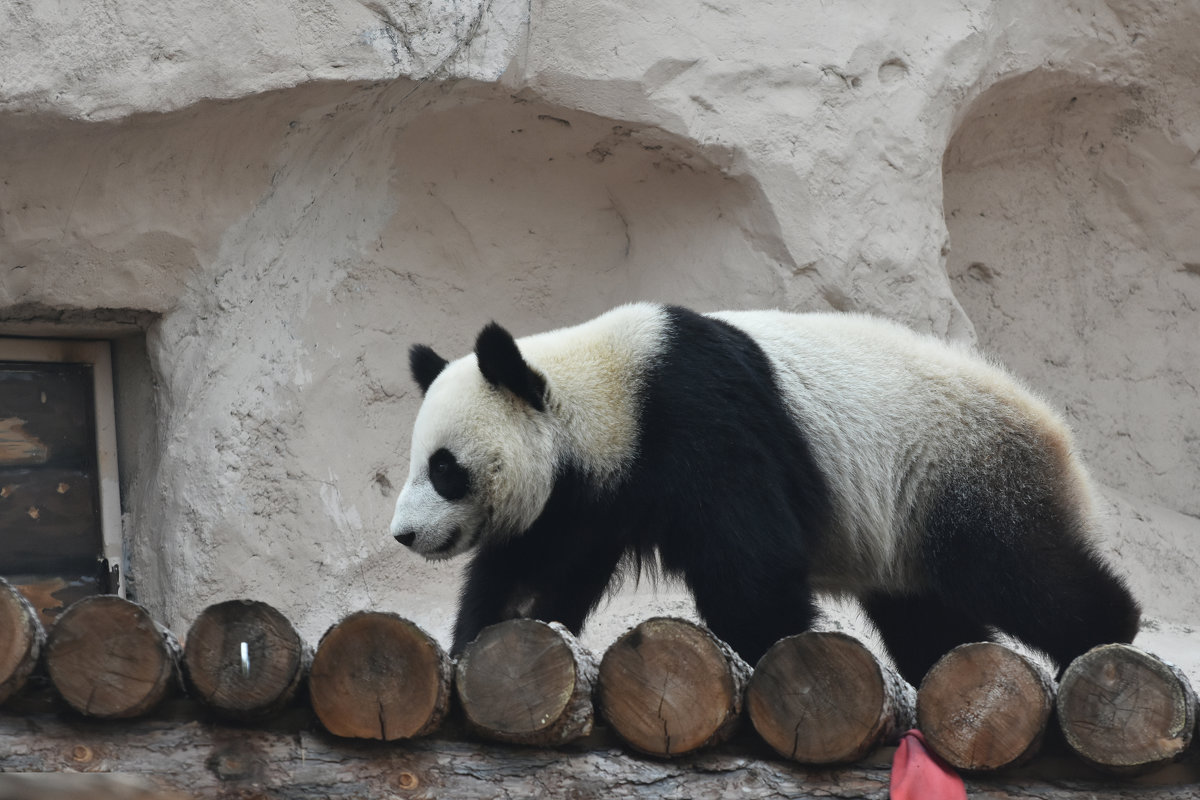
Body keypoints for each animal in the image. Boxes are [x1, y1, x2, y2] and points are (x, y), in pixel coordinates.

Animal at [388, 303, 1137, 686]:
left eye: (445, 469)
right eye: (419, 462)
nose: (405, 536)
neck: (604, 389)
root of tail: (1055, 430)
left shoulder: (696, 416)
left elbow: (749, 563)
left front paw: (781, 646)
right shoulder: (594, 492)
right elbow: (537, 569)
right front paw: (483, 638)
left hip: (959, 469)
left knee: (1018, 570)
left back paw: (1108, 631)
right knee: (927, 614)